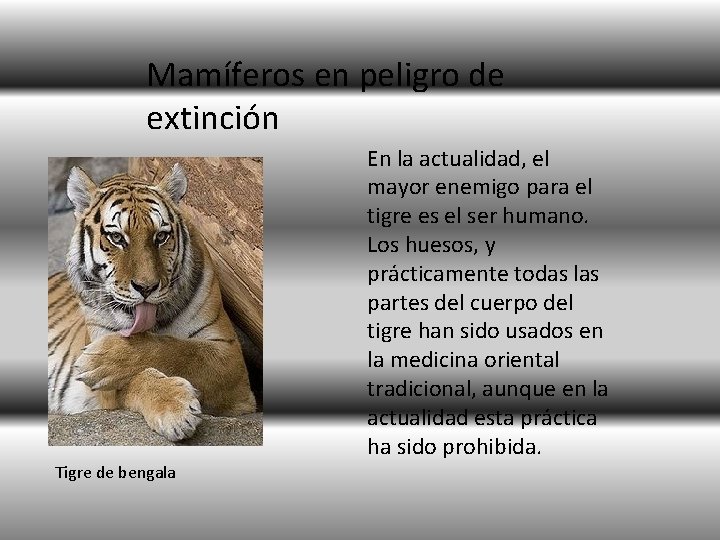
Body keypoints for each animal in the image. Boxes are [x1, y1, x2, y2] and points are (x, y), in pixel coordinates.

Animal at [48, 163, 256, 442]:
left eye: (161, 236)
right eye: (117, 238)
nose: (146, 287)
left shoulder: (229, 354)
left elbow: (179, 350)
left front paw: (99, 359)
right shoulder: (106, 386)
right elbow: (138, 379)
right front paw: (175, 407)